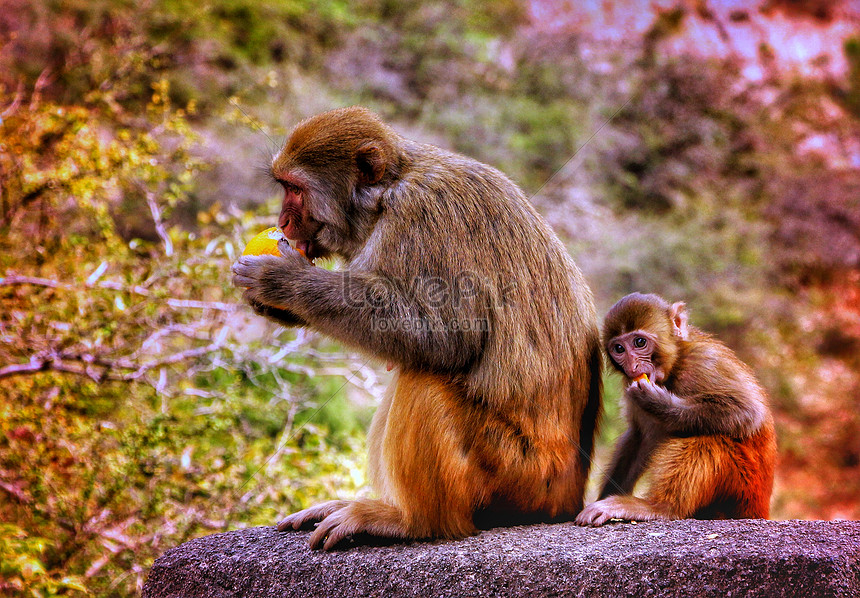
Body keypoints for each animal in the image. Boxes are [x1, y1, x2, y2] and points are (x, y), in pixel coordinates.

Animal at [232, 105, 600, 552]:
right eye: (283, 186)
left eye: (295, 189)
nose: (283, 220)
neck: (385, 196)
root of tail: (569, 494)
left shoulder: (424, 215)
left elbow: (448, 339)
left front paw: (283, 282)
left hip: (517, 475)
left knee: (425, 379)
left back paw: (413, 522)